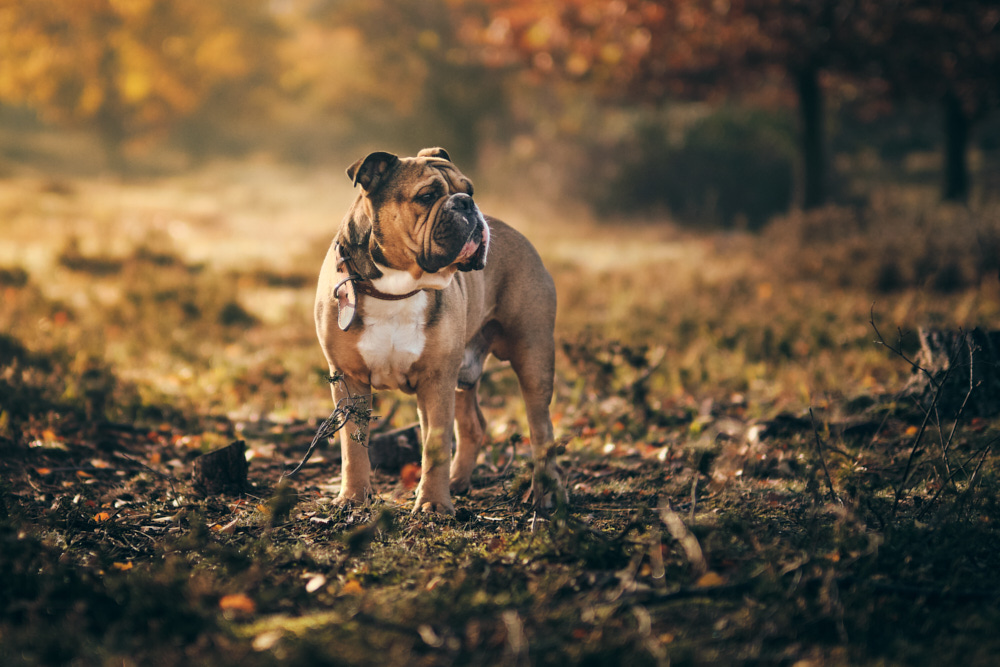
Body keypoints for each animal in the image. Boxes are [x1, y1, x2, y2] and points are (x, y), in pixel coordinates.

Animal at [314, 147, 564, 516]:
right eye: (427, 196)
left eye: (469, 189)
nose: (467, 203)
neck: (396, 289)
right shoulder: (349, 379)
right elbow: (353, 446)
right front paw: (354, 498)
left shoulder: (437, 379)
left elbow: (436, 442)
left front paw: (432, 502)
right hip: (463, 371)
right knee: (474, 426)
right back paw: (458, 482)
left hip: (532, 356)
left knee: (540, 428)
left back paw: (544, 492)